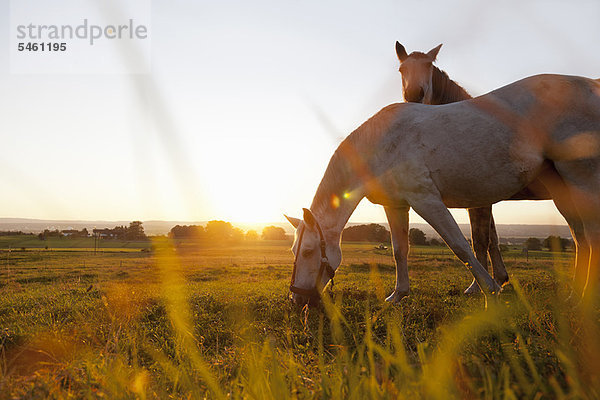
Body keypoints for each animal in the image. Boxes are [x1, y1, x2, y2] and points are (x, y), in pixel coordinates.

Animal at [288, 73, 600, 308]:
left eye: (308, 251)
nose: (297, 299)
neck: (381, 144)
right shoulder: (396, 205)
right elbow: (400, 250)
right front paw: (398, 295)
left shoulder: (426, 200)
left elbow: (461, 246)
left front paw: (491, 290)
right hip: (564, 191)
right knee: (581, 240)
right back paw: (575, 297)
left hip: (581, 180)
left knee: (591, 238)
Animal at [396, 42, 508, 296]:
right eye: (402, 69)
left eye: (428, 66)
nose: (414, 95)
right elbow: (491, 236)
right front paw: (499, 279)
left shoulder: (480, 195)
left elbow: (480, 239)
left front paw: (479, 287)